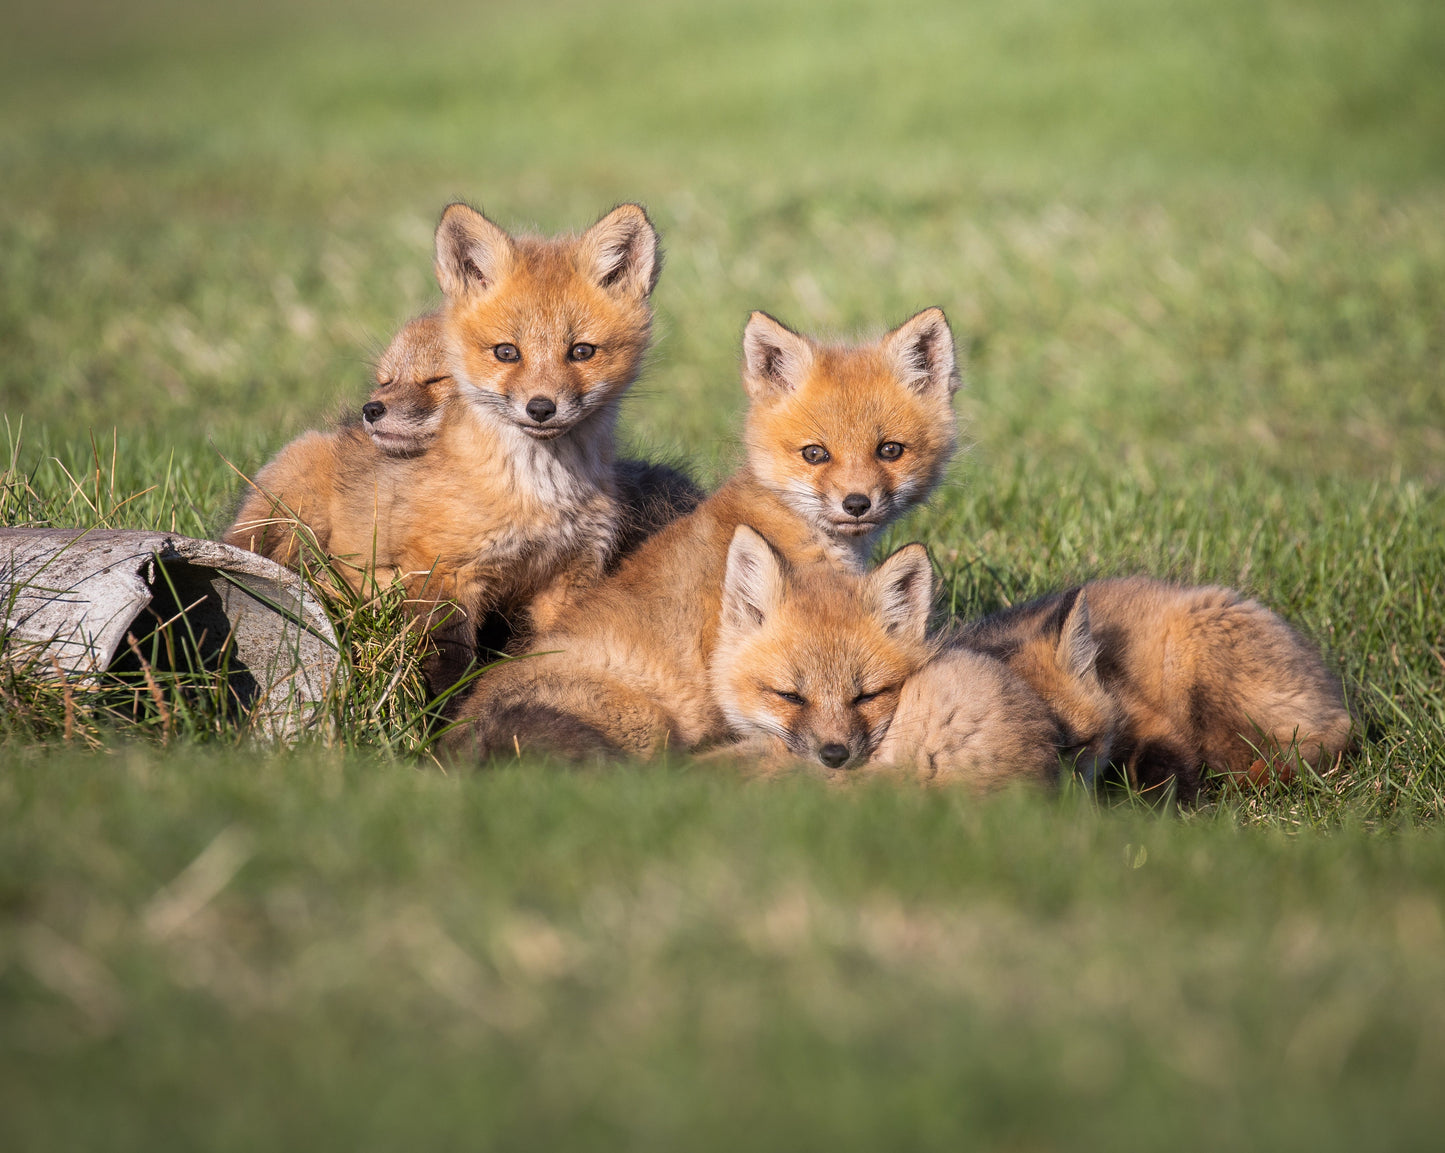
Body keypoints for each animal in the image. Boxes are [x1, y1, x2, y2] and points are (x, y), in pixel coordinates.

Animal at [224, 202, 664, 691]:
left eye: (582, 352)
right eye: (506, 352)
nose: (541, 408)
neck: (541, 497)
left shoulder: (571, 576)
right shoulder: (443, 573)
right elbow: (450, 664)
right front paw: (447, 711)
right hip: (287, 516)